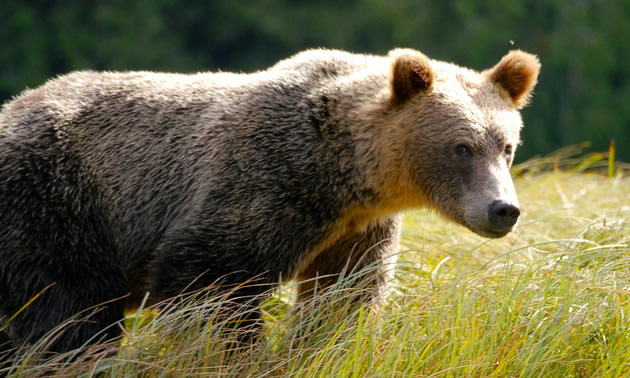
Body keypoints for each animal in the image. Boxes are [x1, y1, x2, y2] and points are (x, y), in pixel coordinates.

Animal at [0, 47, 544, 354]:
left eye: (506, 145)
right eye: (461, 147)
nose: (503, 210)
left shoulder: (355, 230)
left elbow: (343, 299)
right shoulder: (263, 184)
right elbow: (211, 286)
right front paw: (235, 353)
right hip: (57, 199)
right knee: (67, 308)